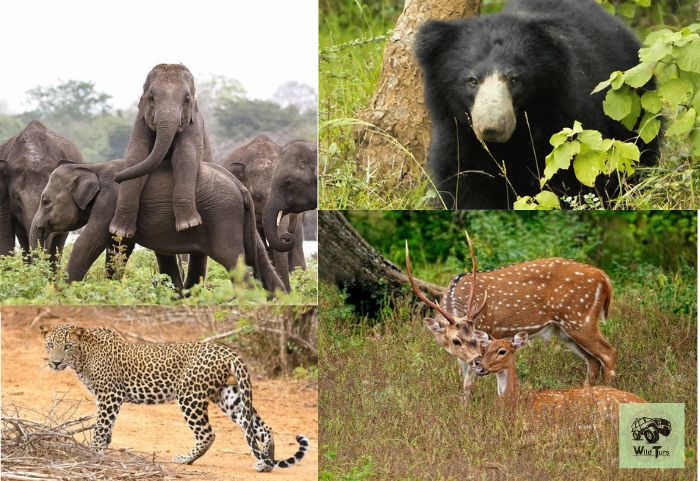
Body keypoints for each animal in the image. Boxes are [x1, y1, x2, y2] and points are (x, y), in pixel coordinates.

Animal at [29, 159, 285, 295]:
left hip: (222, 216)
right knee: (260, 259)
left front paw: (60, 294)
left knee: (233, 260)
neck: (92, 167)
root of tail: (240, 188)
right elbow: (119, 248)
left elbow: (89, 242)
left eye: (45, 201)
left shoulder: (109, 203)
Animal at [109, 63, 212, 238]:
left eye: (186, 100)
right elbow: (137, 156)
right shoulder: (140, 122)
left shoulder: (193, 125)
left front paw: (189, 224)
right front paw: (119, 231)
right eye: (151, 98)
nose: (116, 177)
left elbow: (185, 155)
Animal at [405, 233, 617, 402]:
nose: (478, 360)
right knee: (593, 361)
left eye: (476, 337)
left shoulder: (485, 328)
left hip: (579, 318)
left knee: (608, 353)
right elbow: (462, 381)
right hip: (564, 330)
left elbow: (467, 384)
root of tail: (604, 278)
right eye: (456, 340)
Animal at [414, 0, 657, 209]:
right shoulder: (457, 135)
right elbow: (463, 183)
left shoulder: (565, 121)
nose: (492, 128)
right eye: (472, 81)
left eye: (514, 80)